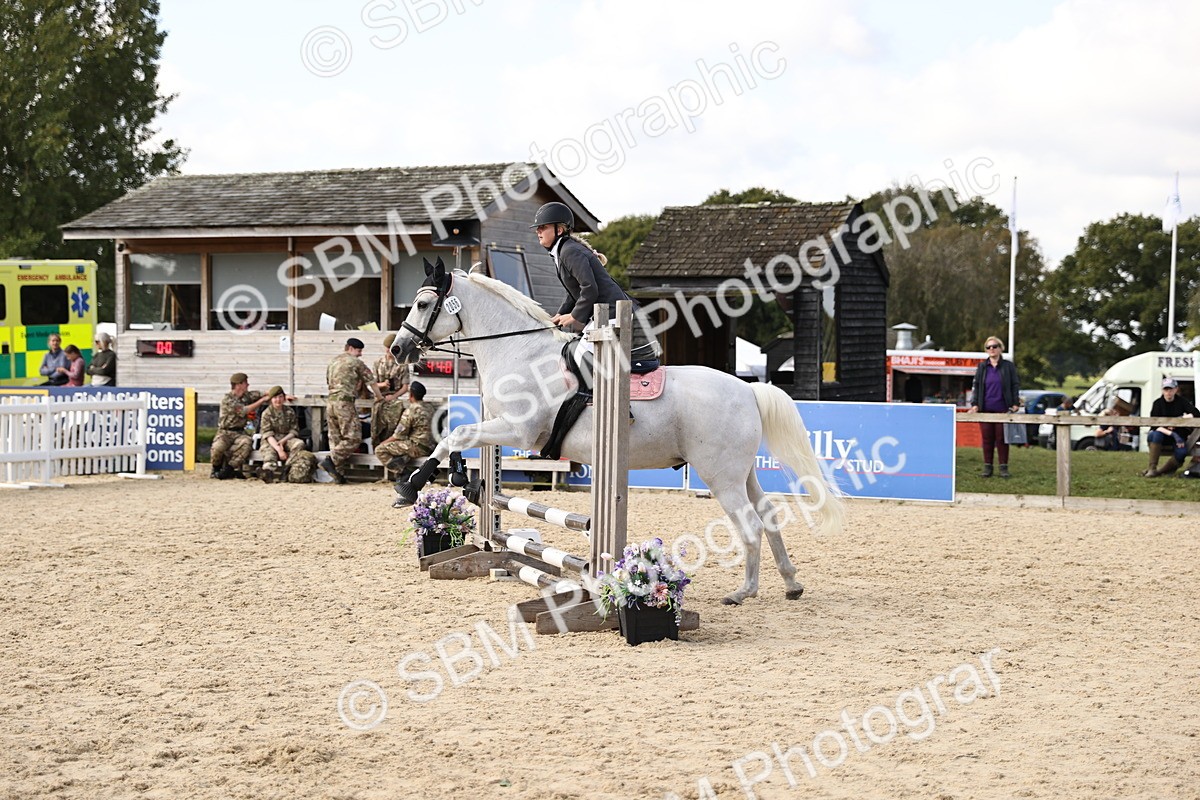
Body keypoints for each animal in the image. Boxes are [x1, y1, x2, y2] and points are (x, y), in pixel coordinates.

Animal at [390, 258, 844, 606]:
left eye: (423, 303)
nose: (397, 349)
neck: (520, 352)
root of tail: (748, 389)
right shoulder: (505, 431)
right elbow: (458, 436)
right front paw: (461, 480)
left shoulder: (519, 432)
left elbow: (457, 434)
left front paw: (411, 486)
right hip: (741, 471)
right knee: (767, 516)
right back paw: (791, 583)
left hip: (721, 475)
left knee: (750, 524)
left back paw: (743, 592)